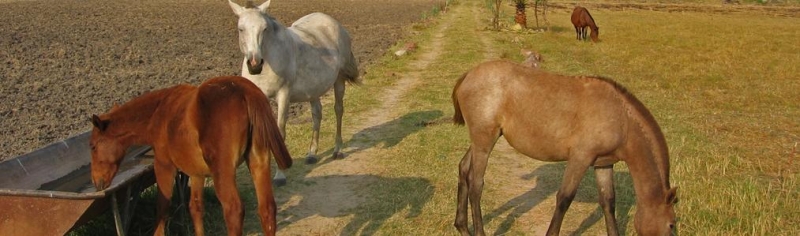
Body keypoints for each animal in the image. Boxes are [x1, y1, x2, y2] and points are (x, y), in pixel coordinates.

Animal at [90, 76, 294, 235]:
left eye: (92, 146)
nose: (97, 182)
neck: (160, 112)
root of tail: (245, 91)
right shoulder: (196, 174)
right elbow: (195, 208)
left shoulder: (163, 165)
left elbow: (162, 207)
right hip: (258, 161)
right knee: (267, 209)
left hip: (223, 171)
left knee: (233, 210)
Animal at [228, 0, 360, 185]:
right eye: (241, 29)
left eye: (264, 28)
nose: (255, 64)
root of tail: (335, 24)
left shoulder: (284, 96)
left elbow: (280, 133)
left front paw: (279, 176)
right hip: (314, 88)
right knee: (317, 114)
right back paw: (311, 154)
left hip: (339, 81)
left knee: (338, 110)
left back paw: (338, 150)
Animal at [450, 61, 676, 236]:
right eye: (671, 225)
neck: (620, 117)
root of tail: (468, 75)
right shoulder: (580, 158)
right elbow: (564, 198)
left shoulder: (603, 164)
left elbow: (608, 202)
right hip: (484, 142)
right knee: (476, 184)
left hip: (483, 140)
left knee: (463, 169)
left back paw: (462, 227)